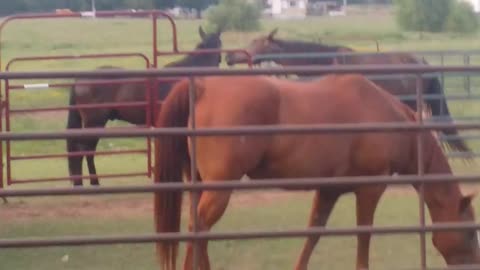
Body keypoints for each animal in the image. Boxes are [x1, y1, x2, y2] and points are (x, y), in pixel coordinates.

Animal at [155, 74, 480, 270]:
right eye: (470, 233)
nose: (472, 264)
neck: (391, 118)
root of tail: (204, 86)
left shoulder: (328, 190)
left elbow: (312, 235)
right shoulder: (370, 189)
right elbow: (364, 236)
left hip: (202, 185)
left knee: (201, 231)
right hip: (220, 188)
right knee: (199, 227)